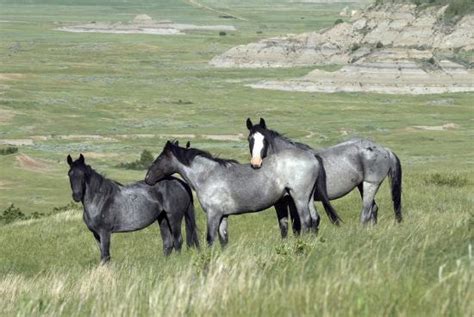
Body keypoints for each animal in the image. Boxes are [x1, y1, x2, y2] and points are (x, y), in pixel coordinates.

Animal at [67, 152, 199, 262]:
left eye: (83, 174)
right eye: (69, 174)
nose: (77, 196)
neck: (100, 200)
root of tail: (181, 183)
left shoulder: (105, 232)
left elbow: (106, 255)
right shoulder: (96, 234)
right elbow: (103, 255)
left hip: (174, 218)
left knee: (177, 241)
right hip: (163, 219)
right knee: (168, 243)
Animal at [246, 118, 402, 225]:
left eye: (265, 140)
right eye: (250, 139)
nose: (255, 163)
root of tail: (384, 150)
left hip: (371, 185)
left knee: (366, 212)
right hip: (361, 186)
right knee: (373, 209)